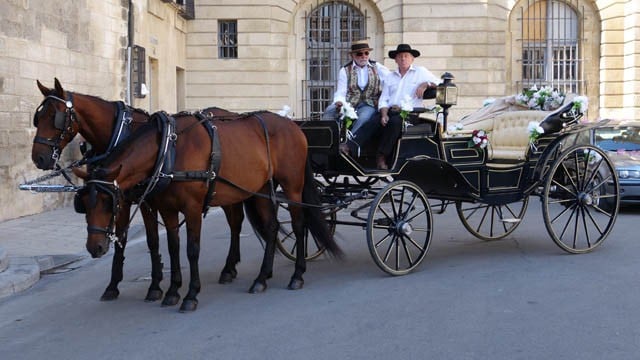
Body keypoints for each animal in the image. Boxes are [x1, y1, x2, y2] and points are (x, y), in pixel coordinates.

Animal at [30, 80, 250, 302]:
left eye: (54, 117)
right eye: (38, 118)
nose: (38, 157)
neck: (120, 134)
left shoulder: (140, 201)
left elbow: (150, 240)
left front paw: (154, 285)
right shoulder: (126, 199)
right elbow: (126, 239)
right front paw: (115, 285)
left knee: (235, 223)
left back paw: (229, 268)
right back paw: (231, 267)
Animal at [73, 108, 342, 310]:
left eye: (107, 202)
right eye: (84, 204)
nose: (95, 248)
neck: (168, 150)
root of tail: (294, 126)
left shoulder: (192, 208)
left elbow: (192, 250)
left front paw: (190, 294)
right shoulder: (166, 209)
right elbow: (172, 247)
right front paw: (172, 291)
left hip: (292, 187)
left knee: (298, 225)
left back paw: (297, 275)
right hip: (263, 188)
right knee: (272, 227)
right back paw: (261, 278)